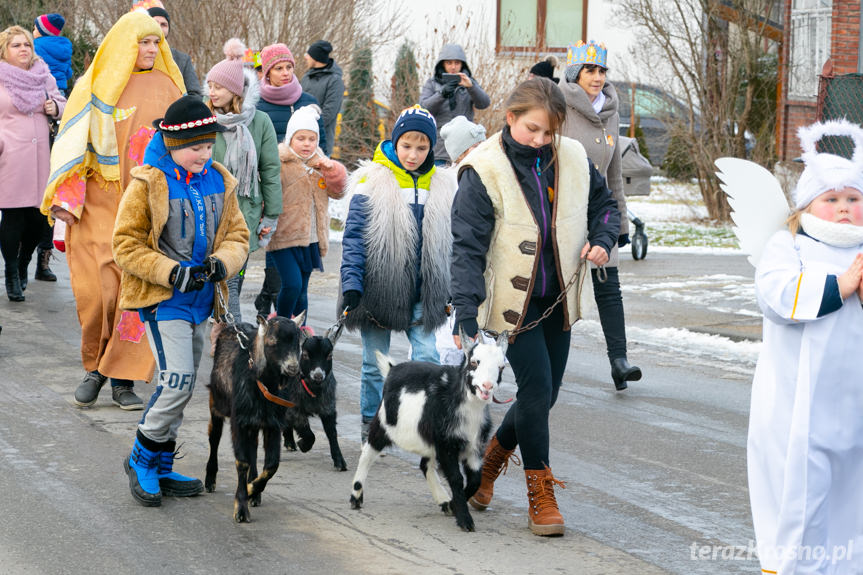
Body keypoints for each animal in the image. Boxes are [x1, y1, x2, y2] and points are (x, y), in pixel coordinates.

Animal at [206, 312, 308, 524]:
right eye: (274, 341)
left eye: (299, 341)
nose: (293, 368)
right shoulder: (238, 422)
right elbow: (242, 461)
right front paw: (241, 508)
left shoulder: (272, 424)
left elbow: (271, 465)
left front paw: (252, 489)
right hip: (216, 404)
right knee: (214, 438)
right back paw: (210, 480)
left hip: (254, 424)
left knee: (253, 450)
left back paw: (254, 491)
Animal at [282, 324, 346, 472]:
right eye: (305, 354)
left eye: (330, 355)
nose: (318, 376)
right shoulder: (293, 408)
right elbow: (308, 433)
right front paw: (303, 445)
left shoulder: (328, 408)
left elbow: (332, 433)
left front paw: (340, 462)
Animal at [348, 328, 506, 532]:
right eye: (474, 362)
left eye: (501, 367)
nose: (487, 386)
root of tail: (392, 369)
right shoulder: (446, 444)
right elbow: (456, 478)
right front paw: (465, 520)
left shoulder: (474, 448)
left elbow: (475, 480)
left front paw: (453, 505)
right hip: (383, 423)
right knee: (368, 453)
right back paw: (356, 496)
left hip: (428, 440)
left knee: (425, 465)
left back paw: (443, 501)